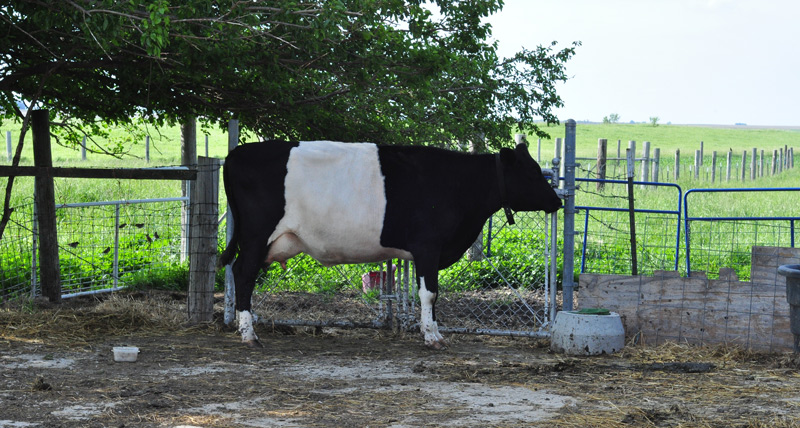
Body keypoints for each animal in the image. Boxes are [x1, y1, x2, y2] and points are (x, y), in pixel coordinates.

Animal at [218, 140, 562, 349]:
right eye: (532, 172)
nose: (558, 201)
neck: (456, 184)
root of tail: (236, 153)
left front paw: (433, 331)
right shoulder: (428, 247)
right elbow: (430, 293)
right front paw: (433, 336)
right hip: (256, 236)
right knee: (243, 274)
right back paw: (249, 334)